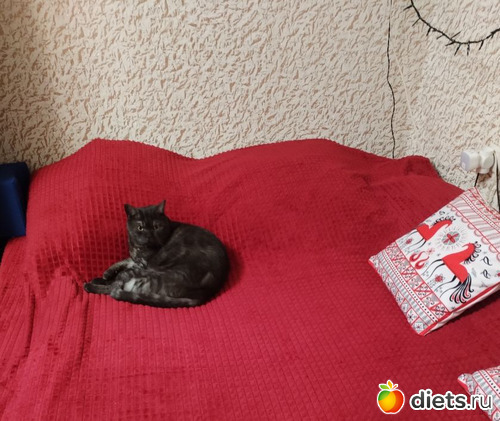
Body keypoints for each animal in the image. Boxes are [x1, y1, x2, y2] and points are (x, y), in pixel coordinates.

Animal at [84, 200, 229, 308]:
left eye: (156, 227)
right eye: (140, 227)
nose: (149, 235)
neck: (138, 248)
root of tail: (203, 293)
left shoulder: (143, 264)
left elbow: (126, 265)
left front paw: (104, 277)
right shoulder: (137, 260)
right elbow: (127, 259)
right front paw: (107, 272)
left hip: (151, 273)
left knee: (114, 288)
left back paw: (90, 285)